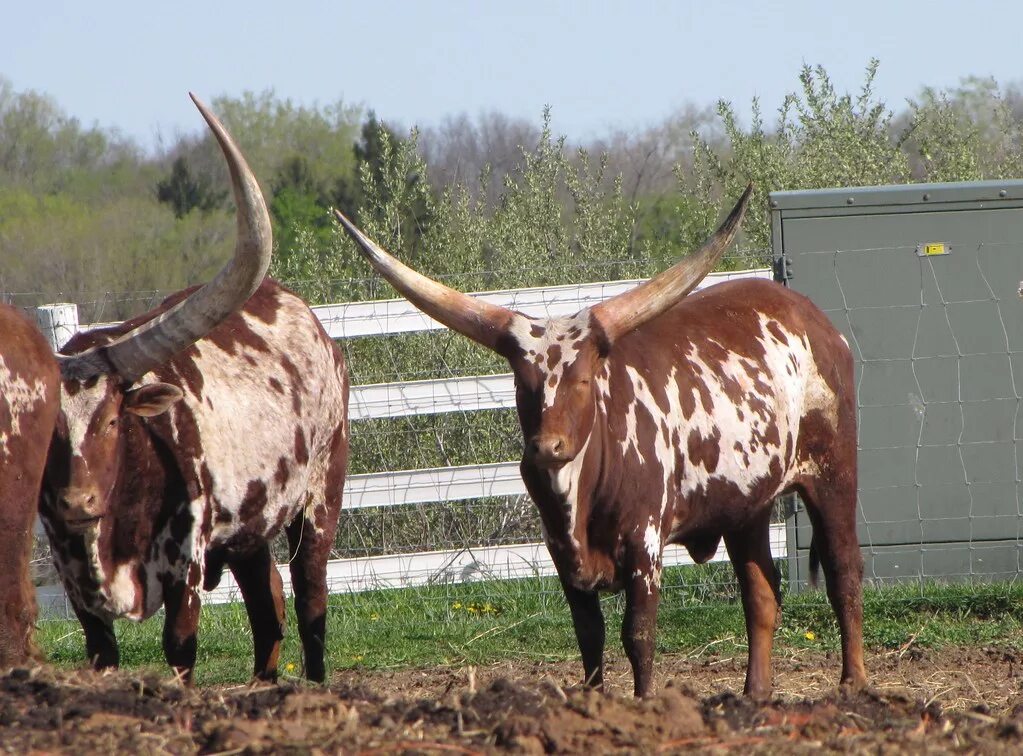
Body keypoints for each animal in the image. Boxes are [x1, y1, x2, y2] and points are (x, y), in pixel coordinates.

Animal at [37, 96, 349, 687]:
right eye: (45, 431)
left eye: (112, 419)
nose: (76, 502)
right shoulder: (75, 580)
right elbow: (102, 654)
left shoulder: (188, 562)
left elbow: (180, 649)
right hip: (250, 525)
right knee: (267, 603)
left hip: (321, 493)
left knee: (309, 597)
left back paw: (314, 684)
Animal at [333, 183, 863, 699]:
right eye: (521, 382)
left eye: (585, 379)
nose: (547, 447)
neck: (580, 491)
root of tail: (812, 317)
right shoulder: (562, 555)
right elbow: (589, 637)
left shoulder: (645, 545)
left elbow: (638, 636)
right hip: (745, 504)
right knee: (761, 593)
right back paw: (754, 694)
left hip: (833, 472)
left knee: (844, 572)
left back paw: (852, 683)